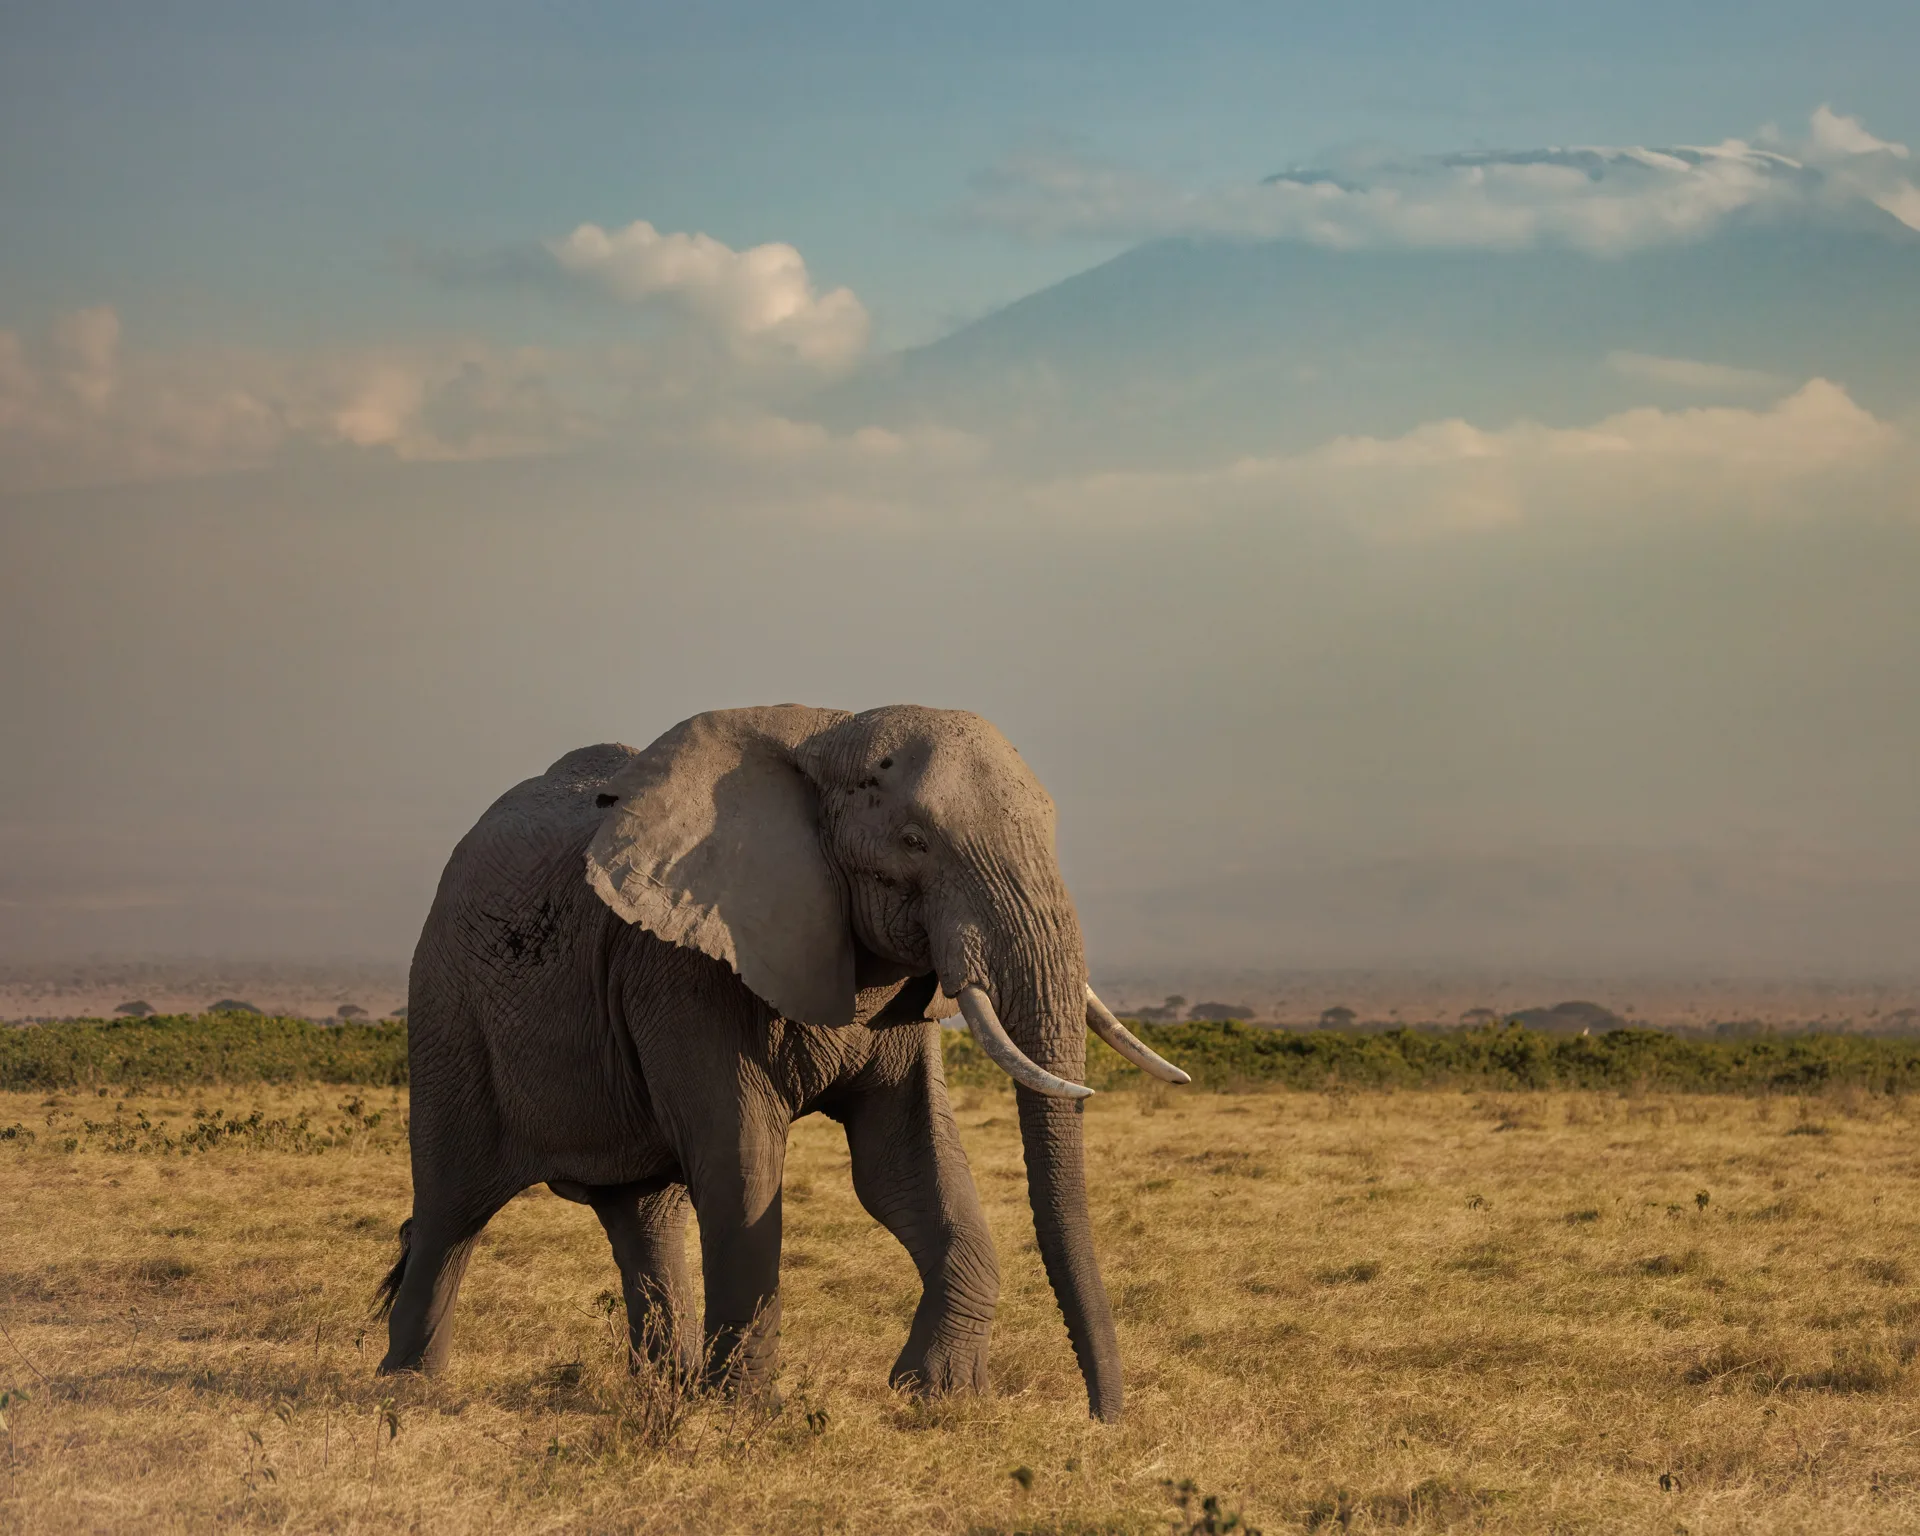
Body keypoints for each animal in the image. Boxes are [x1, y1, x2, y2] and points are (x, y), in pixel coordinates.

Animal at [374, 704, 1186, 1422]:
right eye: (914, 841)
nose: (1105, 1419)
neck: (828, 737)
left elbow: (905, 1167)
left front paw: (939, 1396)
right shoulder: (685, 967)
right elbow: (743, 1163)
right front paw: (744, 1416)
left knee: (642, 1215)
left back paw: (661, 1389)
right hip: (447, 1008)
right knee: (451, 1209)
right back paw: (406, 1390)